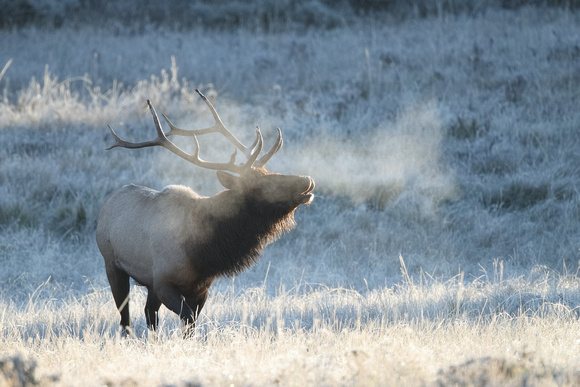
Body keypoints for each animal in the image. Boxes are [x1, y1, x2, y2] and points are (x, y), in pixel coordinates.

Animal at [96, 90, 312, 336]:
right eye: (264, 184)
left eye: (270, 172)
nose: (306, 179)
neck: (203, 252)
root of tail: (106, 205)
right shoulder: (163, 281)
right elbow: (187, 319)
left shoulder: (200, 288)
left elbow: (190, 326)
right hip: (112, 263)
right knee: (126, 318)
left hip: (147, 282)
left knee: (149, 314)